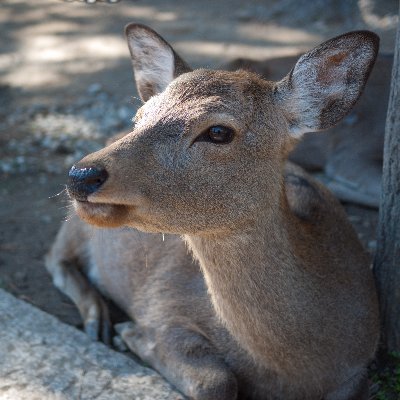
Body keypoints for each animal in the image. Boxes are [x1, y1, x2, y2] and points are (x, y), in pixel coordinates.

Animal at [45, 25, 380, 400]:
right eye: (140, 118)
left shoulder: (360, 365)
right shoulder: (165, 304)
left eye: (218, 131)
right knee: (55, 259)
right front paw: (131, 334)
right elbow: (216, 381)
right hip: (74, 227)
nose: (82, 175)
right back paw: (98, 321)